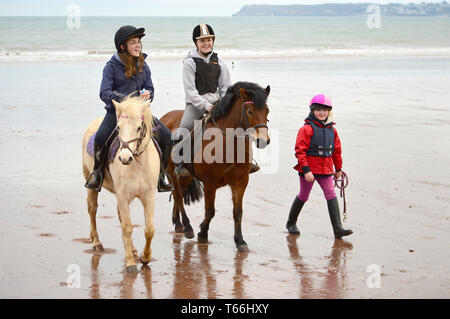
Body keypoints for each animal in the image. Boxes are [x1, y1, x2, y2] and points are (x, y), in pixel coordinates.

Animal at [81, 97, 161, 272]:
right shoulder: (123, 195)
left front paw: (145, 257)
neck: (137, 164)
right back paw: (97, 243)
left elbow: (149, 229)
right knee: (92, 209)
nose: (125, 158)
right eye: (118, 128)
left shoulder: (148, 195)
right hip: (90, 179)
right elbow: (127, 227)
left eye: (139, 128)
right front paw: (130, 263)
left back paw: (134, 250)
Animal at [160, 82, 268, 252]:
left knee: (180, 195)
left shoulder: (240, 182)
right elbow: (210, 211)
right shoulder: (210, 183)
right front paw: (202, 233)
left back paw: (178, 224)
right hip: (172, 172)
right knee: (178, 196)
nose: (263, 141)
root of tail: (166, 117)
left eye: (267, 111)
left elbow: (238, 213)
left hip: (185, 176)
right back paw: (187, 227)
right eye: (250, 111)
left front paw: (240, 241)